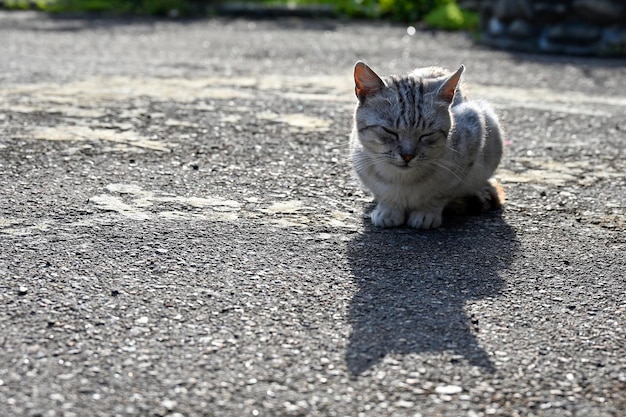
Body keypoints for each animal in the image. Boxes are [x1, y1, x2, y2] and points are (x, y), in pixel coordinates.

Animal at [348, 62, 504, 228]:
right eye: (389, 131)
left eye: (426, 134)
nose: (407, 156)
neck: (403, 180)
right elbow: (383, 194)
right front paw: (388, 210)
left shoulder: (472, 132)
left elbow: (439, 195)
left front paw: (426, 213)